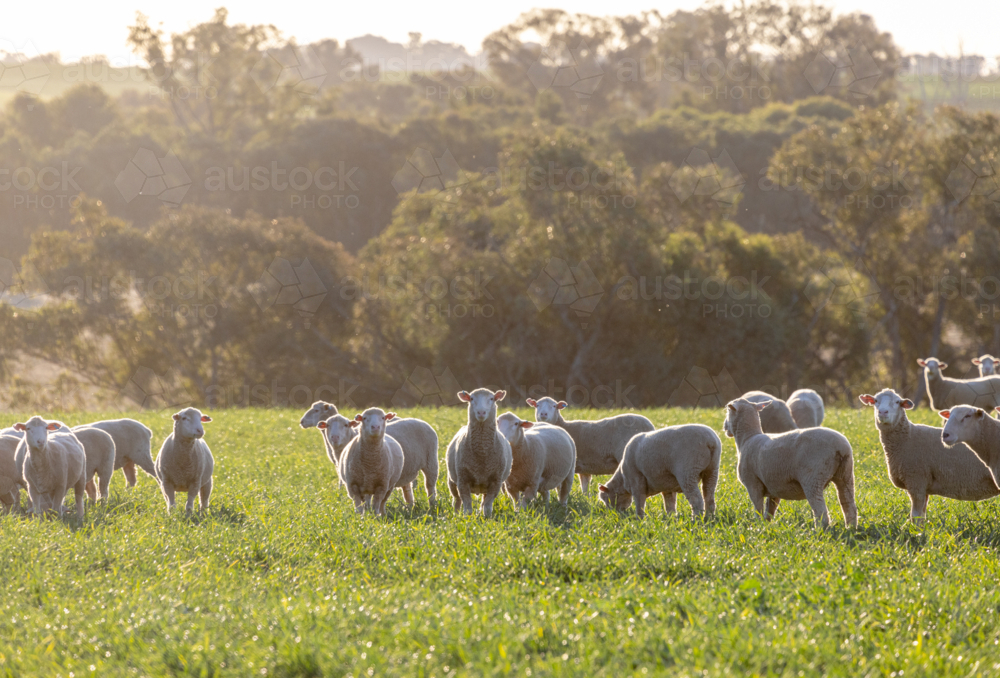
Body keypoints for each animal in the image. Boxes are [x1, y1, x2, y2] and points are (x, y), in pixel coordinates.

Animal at [524, 398, 656, 494]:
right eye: (537, 405)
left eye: (554, 406)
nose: (543, 414)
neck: (564, 426)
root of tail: (650, 426)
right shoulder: (585, 468)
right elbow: (585, 487)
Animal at [592, 424, 720, 520]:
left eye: (606, 499)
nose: (614, 515)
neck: (623, 480)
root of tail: (710, 442)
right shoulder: (667, 486)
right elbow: (669, 504)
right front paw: (671, 519)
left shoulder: (636, 480)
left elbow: (640, 502)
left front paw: (639, 520)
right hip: (712, 470)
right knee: (709, 498)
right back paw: (709, 518)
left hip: (688, 472)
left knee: (697, 501)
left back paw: (696, 520)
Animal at [724, 398, 856, 532]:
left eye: (728, 411)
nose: (724, 427)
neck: (747, 438)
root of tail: (840, 447)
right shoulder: (773, 486)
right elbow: (770, 511)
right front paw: (766, 526)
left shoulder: (753, 484)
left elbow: (758, 509)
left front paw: (758, 526)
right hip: (846, 474)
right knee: (848, 503)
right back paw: (851, 528)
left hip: (813, 478)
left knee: (821, 511)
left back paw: (819, 531)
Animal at [860, 390, 1000, 524]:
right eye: (875, 401)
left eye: (897, 402)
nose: (883, 412)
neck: (907, 437)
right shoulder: (924, 485)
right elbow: (922, 515)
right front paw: (921, 530)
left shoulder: (916, 480)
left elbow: (915, 516)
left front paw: (914, 531)